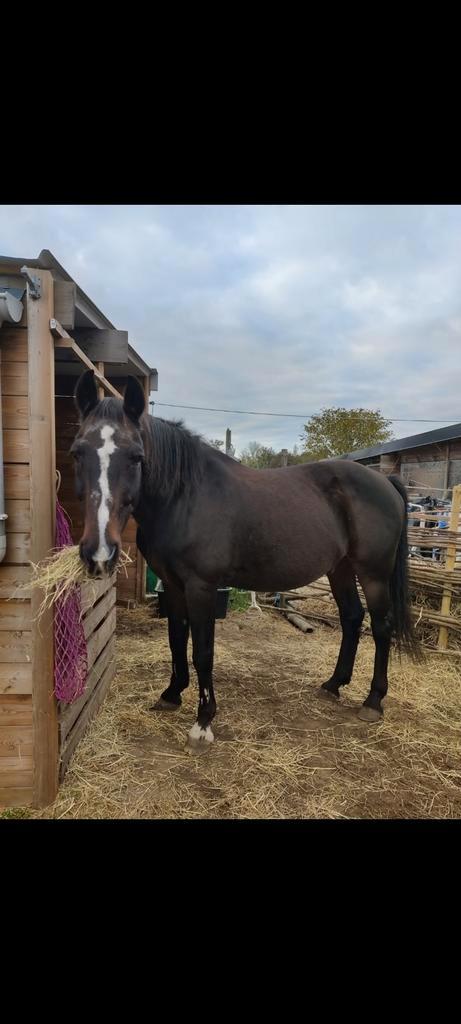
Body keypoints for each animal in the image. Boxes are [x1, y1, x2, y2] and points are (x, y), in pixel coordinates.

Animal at [71, 370, 421, 750]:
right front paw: (171, 694)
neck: (185, 496)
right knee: (352, 617)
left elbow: (203, 652)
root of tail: (385, 480)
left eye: (136, 457)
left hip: (373, 573)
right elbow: (176, 639)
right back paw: (333, 685)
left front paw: (203, 723)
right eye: (78, 452)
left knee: (382, 626)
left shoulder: (201, 587)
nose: (98, 552)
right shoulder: (174, 586)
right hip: (339, 568)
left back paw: (373, 701)